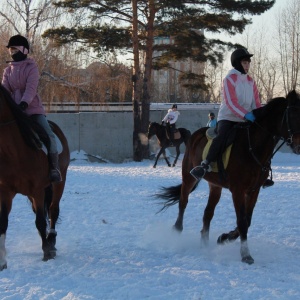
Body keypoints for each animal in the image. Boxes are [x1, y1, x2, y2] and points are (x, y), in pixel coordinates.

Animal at [0, 84, 70, 270]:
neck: (14, 151)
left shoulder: (37, 190)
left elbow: (40, 221)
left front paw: (47, 252)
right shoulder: (6, 192)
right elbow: (3, 222)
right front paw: (2, 261)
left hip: (59, 182)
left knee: (53, 211)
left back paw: (51, 241)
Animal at [156, 89, 300, 264]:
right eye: (293, 116)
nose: (299, 146)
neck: (253, 147)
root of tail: (195, 134)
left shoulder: (254, 190)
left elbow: (247, 220)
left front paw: (225, 237)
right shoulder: (237, 190)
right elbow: (242, 221)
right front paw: (245, 255)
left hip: (215, 186)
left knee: (207, 213)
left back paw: (205, 243)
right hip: (188, 177)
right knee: (183, 202)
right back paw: (177, 231)